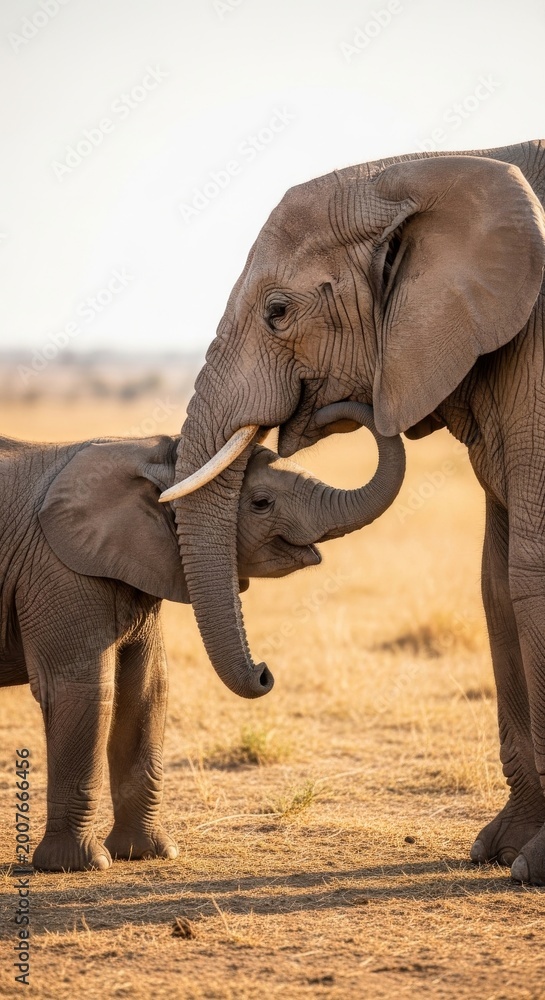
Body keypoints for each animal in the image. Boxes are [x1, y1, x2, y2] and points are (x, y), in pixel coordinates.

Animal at [1, 403, 404, 871]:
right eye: (261, 503)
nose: (264, 672)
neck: (150, 454)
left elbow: (147, 690)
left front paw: (150, 854)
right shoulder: (57, 568)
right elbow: (83, 691)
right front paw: (82, 865)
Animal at [164, 139, 545, 885]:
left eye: (278, 312)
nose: (264, 673)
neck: (448, 164)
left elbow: (529, 574)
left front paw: (534, 866)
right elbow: (497, 582)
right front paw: (500, 852)